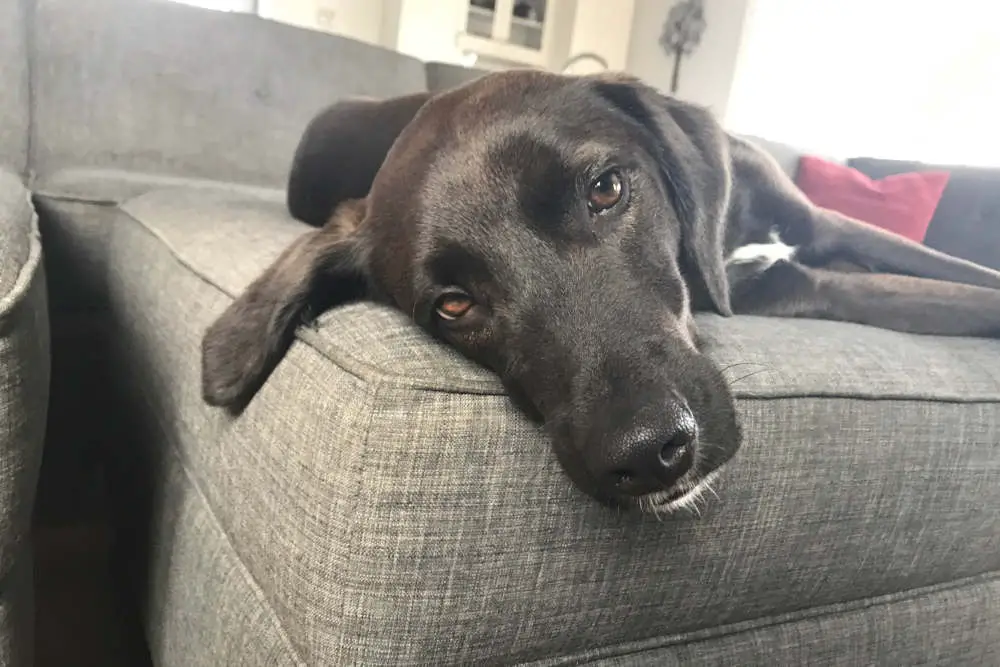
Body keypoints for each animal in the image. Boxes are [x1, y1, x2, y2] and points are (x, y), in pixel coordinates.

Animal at [199, 70, 1000, 516]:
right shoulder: (796, 286)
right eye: (453, 304)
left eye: (607, 189)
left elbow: (960, 274)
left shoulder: (824, 227)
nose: (645, 455)